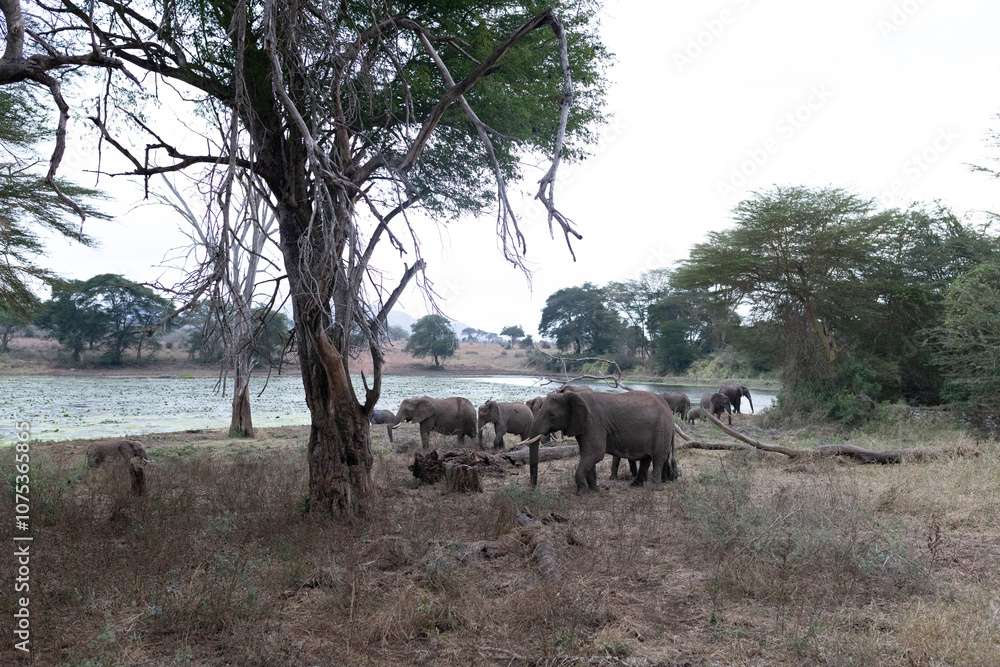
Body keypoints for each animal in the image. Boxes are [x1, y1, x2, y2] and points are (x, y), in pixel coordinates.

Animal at [525, 389, 678, 493]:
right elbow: (589, 455)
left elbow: (595, 453)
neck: (574, 395)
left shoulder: (593, 423)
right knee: (646, 458)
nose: (533, 489)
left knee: (658, 457)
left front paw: (581, 491)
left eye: (551, 415)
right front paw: (594, 490)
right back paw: (635, 485)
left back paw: (654, 489)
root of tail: (668, 408)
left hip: (661, 428)